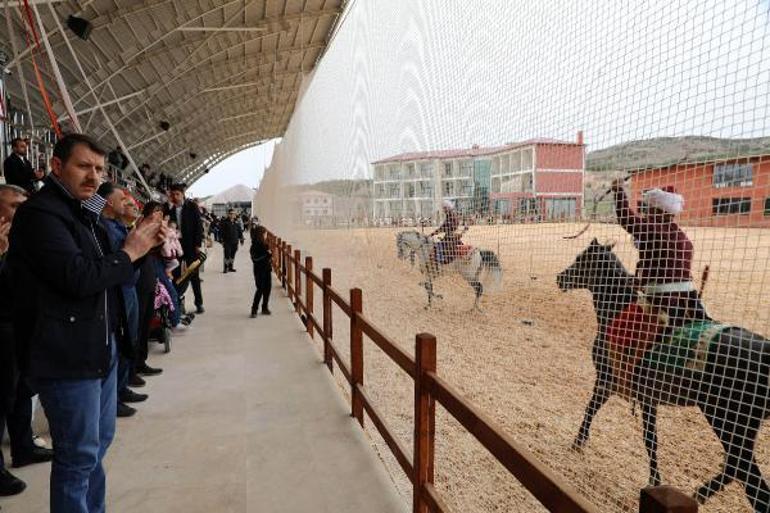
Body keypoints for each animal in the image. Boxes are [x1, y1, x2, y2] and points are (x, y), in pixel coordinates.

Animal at [556, 238, 768, 510]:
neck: (617, 312)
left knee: (744, 472)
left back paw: (700, 493)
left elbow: (608, 418)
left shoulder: (610, 382)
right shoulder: (640, 394)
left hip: (727, 419)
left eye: (581, 259)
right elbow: (646, 437)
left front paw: (579, 443)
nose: (560, 278)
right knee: (739, 470)